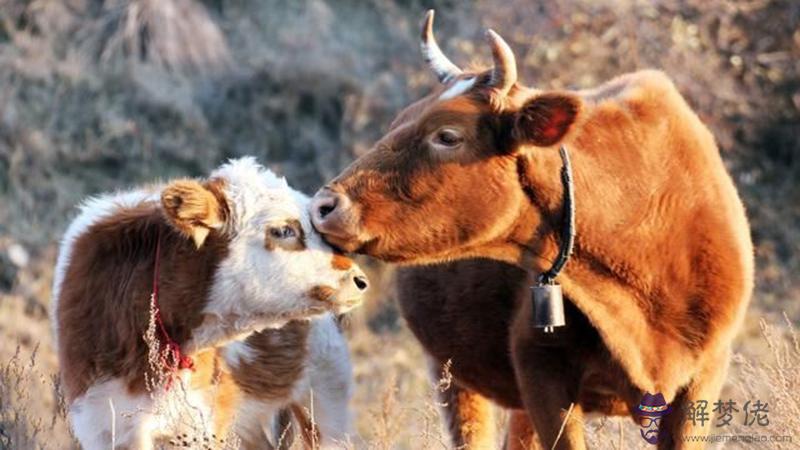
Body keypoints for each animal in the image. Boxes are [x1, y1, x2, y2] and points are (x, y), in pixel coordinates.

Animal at [310, 10, 752, 450]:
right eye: (397, 122)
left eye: (448, 135)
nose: (323, 206)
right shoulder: (540, 372)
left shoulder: (704, 376)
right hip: (451, 372)